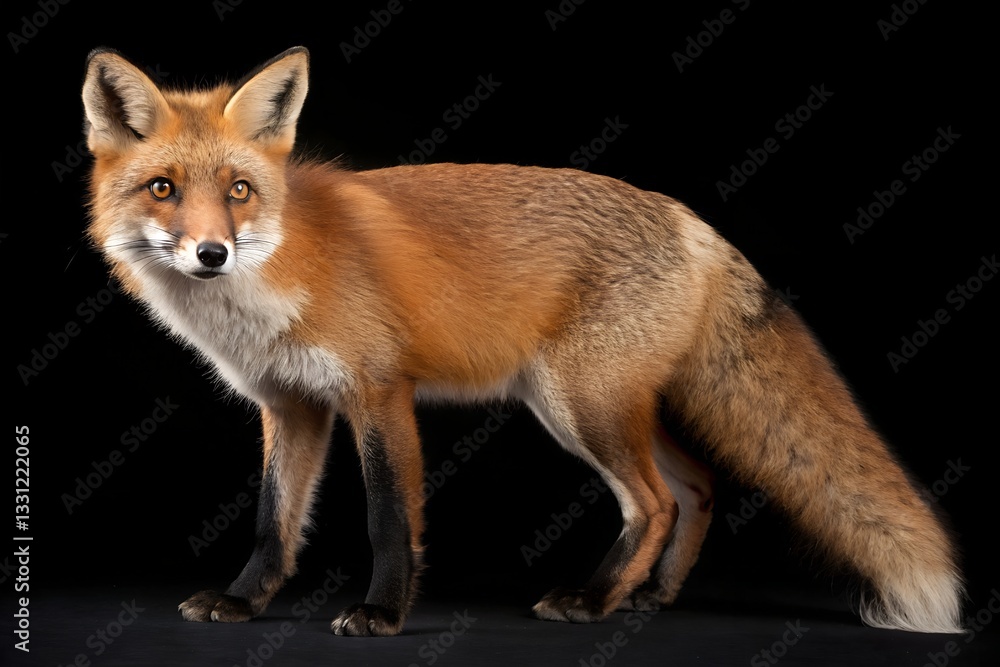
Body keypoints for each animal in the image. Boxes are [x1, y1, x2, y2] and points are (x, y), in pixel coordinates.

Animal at [81, 46, 965, 636]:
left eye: (238, 191)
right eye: (163, 188)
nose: (212, 253)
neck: (279, 269)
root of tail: (692, 221)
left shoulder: (379, 391)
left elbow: (387, 517)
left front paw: (381, 612)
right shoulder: (292, 406)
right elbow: (273, 521)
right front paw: (243, 599)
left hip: (580, 407)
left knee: (653, 500)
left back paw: (595, 600)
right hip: (608, 408)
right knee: (699, 486)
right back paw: (648, 596)